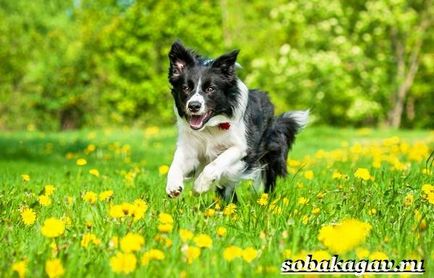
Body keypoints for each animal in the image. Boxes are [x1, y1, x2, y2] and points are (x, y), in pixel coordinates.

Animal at [164, 41, 308, 201]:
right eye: (185, 88)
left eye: (210, 89)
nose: (194, 106)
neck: (210, 127)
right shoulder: (189, 146)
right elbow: (176, 163)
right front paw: (173, 185)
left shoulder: (242, 148)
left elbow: (217, 162)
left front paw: (200, 186)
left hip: (271, 152)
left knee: (269, 179)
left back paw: (268, 199)